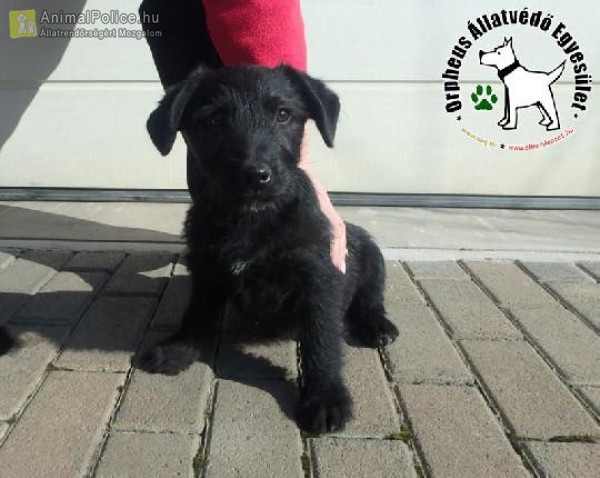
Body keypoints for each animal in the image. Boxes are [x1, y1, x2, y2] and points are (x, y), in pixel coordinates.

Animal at [139, 64, 399, 433]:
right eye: (214, 120)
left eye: (283, 114)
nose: (255, 175)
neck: (252, 219)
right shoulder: (206, 270)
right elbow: (197, 313)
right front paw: (180, 347)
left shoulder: (318, 278)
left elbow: (322, 339)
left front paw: (325, 396)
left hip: (367, 250)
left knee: (370, 297)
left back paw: (377, 325)